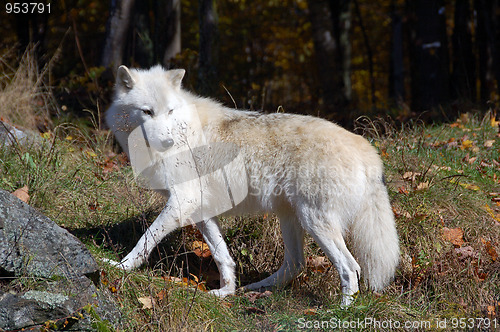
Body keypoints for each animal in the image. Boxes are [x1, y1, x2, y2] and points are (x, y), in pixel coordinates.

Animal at [104, 65, 398, 306]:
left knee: (350, 267)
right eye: (147, 112)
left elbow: (146, 240)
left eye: (170, 111)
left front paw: (120, 267)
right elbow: (222, 256)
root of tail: (366, 149)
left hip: (314, 221)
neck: (183, 129)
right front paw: (226, 292)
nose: (167, 142)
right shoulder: (200, 209)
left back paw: (342, 310)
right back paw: (254, 288)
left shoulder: (183, 201)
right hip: (291, 218)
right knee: (296, 264)